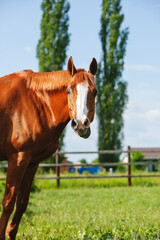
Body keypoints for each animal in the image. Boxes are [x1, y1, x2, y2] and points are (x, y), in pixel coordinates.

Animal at [0, 56, 97, 240]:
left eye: (94, 92)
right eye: (68, 90)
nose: (81, 124)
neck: (35, 101)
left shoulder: (31, 162)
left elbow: (21, 203)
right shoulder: (18, 158)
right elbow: (8, 202)